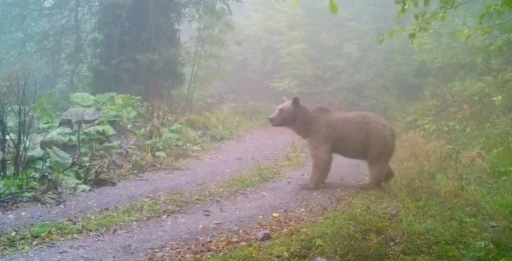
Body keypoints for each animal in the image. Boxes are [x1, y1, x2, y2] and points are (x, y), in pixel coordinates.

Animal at [268, 95, 396, 189]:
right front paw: (322, 181)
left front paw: (308, 184)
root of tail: (391, 129)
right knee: (382, 162)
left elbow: (321, 157)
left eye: (280, 109)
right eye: (277, 108)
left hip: (375, 140)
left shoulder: (320, 134)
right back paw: (388, 177)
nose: (270, 118)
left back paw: (370, 184)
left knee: (376, 162)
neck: (308, 126)